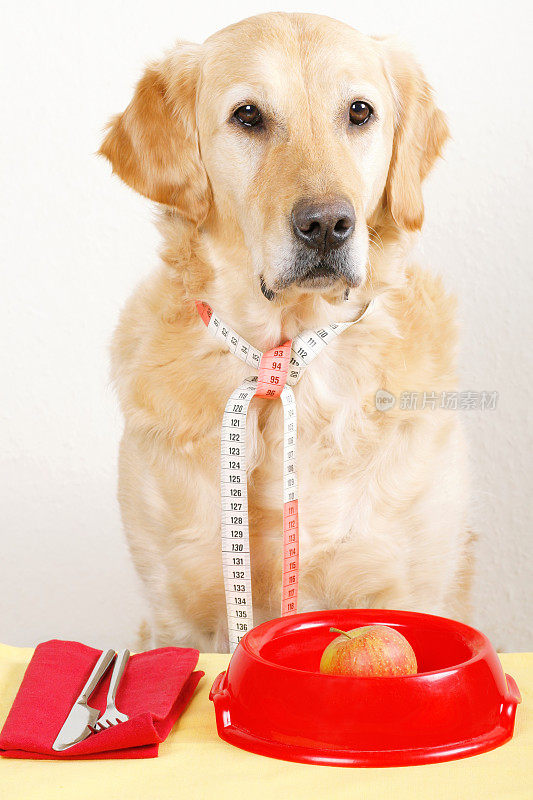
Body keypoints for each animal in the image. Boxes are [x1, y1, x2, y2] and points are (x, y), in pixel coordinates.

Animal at [101, 10, 474, 648]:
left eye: (359, 112)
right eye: (248, 115)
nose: (327, 224)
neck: (285, 353)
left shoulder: (408, 590)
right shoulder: (179, 614)